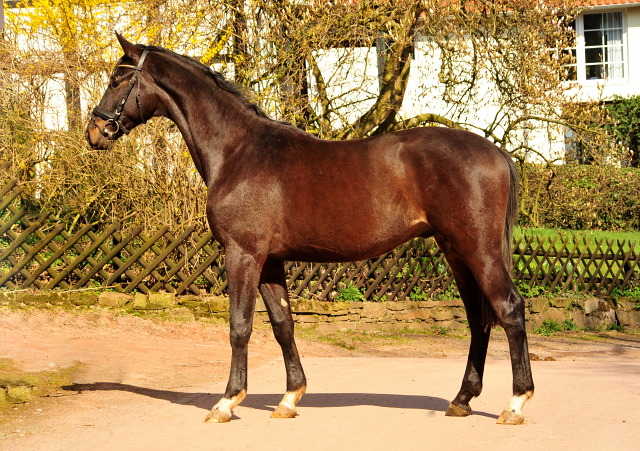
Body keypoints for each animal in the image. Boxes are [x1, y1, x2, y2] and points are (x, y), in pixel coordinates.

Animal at [86, 33, 536, 426]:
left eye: (117, 78)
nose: (94, 131)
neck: (238, 151)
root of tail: (496, 152)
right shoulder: (269, 262)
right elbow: (283, 326)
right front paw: (289, 398)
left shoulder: (243, 254)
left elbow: (239, 326)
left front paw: (227, 402)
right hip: (455, 251)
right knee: (478, 318)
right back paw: (462, 400)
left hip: (478, 249)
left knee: (509, 309)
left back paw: (515, 403)